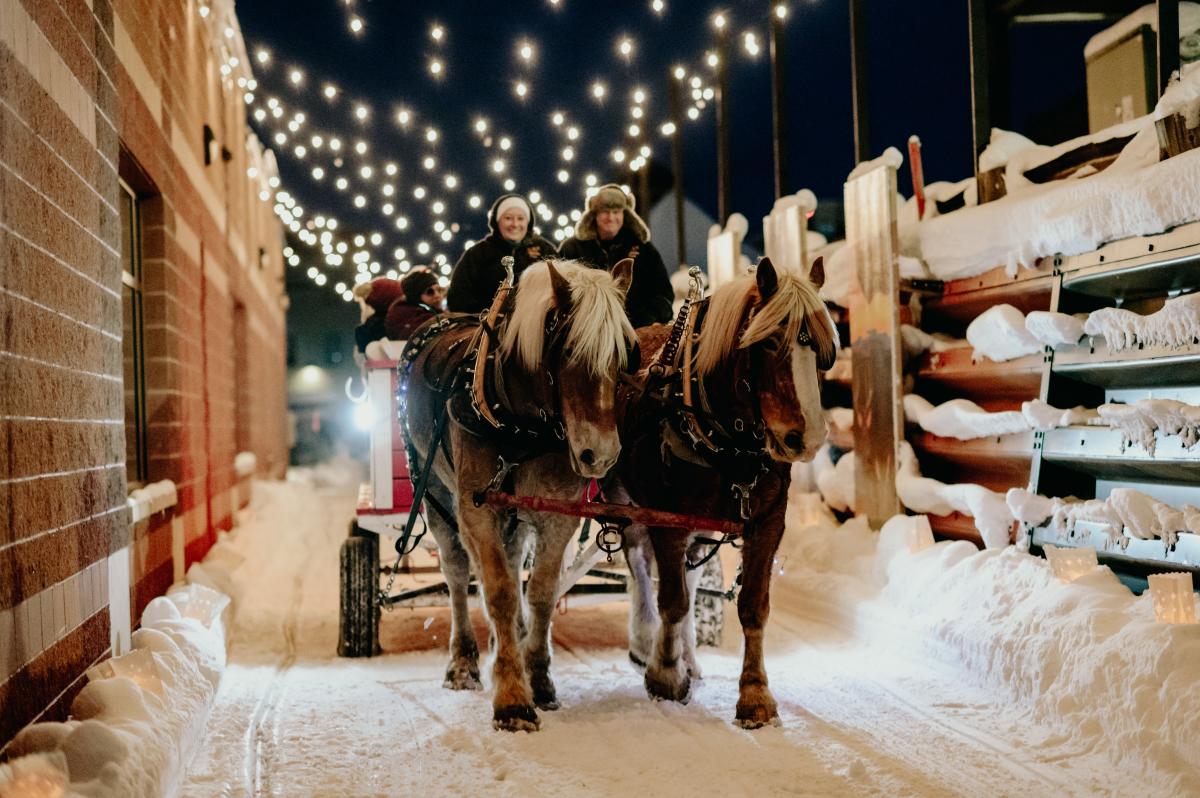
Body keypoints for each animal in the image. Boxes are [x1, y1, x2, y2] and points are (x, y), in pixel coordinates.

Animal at [403, 258, 638, 729]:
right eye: (568, 350)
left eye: (624, 354)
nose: (600, 455)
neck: (520, 427)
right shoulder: (476, 510)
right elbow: (498, 593)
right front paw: (512, 698)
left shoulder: (556, 514)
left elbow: (541, 594)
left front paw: (539, 679)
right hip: (434, 491)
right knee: (457, 572)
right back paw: (464, 664)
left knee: (510, 566)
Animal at [609, 256, 835, 729]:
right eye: (769, 342)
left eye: (824, 350)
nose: (804, 438)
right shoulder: (667, 519)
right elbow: (673, 600)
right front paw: (665, 674)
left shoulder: (768, 521)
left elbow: (752, 605)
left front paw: (754, 694)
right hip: (624, 500)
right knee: (639, 567)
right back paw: (646, 642)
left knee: (688, 576)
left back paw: (688, 658)